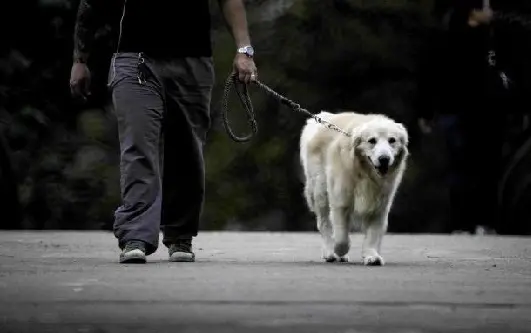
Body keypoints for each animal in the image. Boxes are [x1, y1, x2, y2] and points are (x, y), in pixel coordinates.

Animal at [302, 111, 410, 264]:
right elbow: (341, 237)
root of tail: (322, 116)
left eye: (392, 140)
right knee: (324, 224)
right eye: (372, 141)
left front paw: (371, 255)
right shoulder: (341, 201)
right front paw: (339, 250)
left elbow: (373, 234)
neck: (364, 173)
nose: (384, 159)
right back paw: (330, 253)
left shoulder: (380, 205)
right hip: (320, 190)